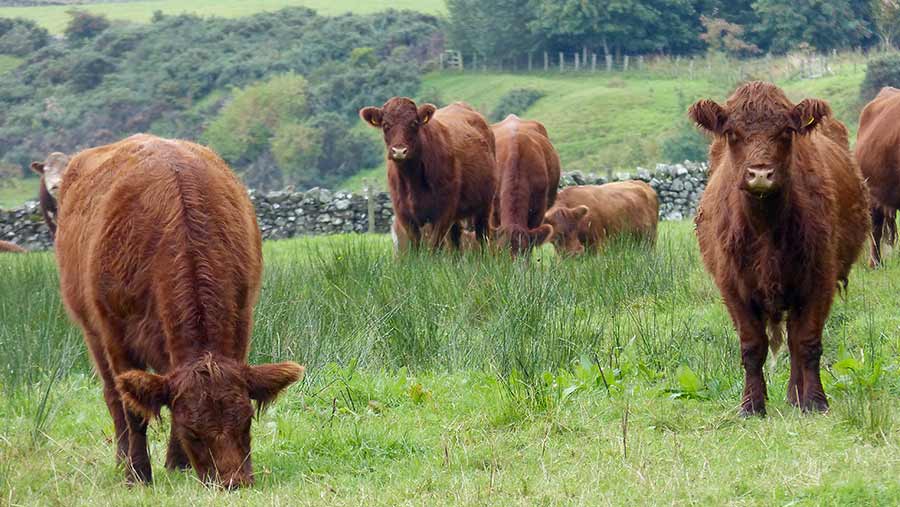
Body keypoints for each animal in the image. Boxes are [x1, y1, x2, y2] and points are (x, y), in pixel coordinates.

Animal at [47, 134, 302, 488]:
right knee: (113, 397)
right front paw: (138, 475)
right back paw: (122, 460)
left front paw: (177, 465)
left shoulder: (241, 319)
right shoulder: (116, 335)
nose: (233, 482)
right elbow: (134, 411)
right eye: (192, 431)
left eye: (247, 421)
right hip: (91, 331)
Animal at [360, 97, 500, 252]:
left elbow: (433, 246)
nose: (399, 151)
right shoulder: (404, 213)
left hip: (485, 204)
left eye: (414, 123)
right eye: (385, 125)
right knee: (455, 239)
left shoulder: (443, 211)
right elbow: (416, 245)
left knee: (482, 236)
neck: (411, 179)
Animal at [688, 81, 872, 416]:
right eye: (732, 133)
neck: (765, 229)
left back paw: (796, 396)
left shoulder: (819, 279)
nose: (760, 174)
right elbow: (752, 346)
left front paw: (815, 401)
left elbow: (807, 342)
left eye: (786, 131)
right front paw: (751, 405)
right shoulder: (732, 285)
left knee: (796, 341)